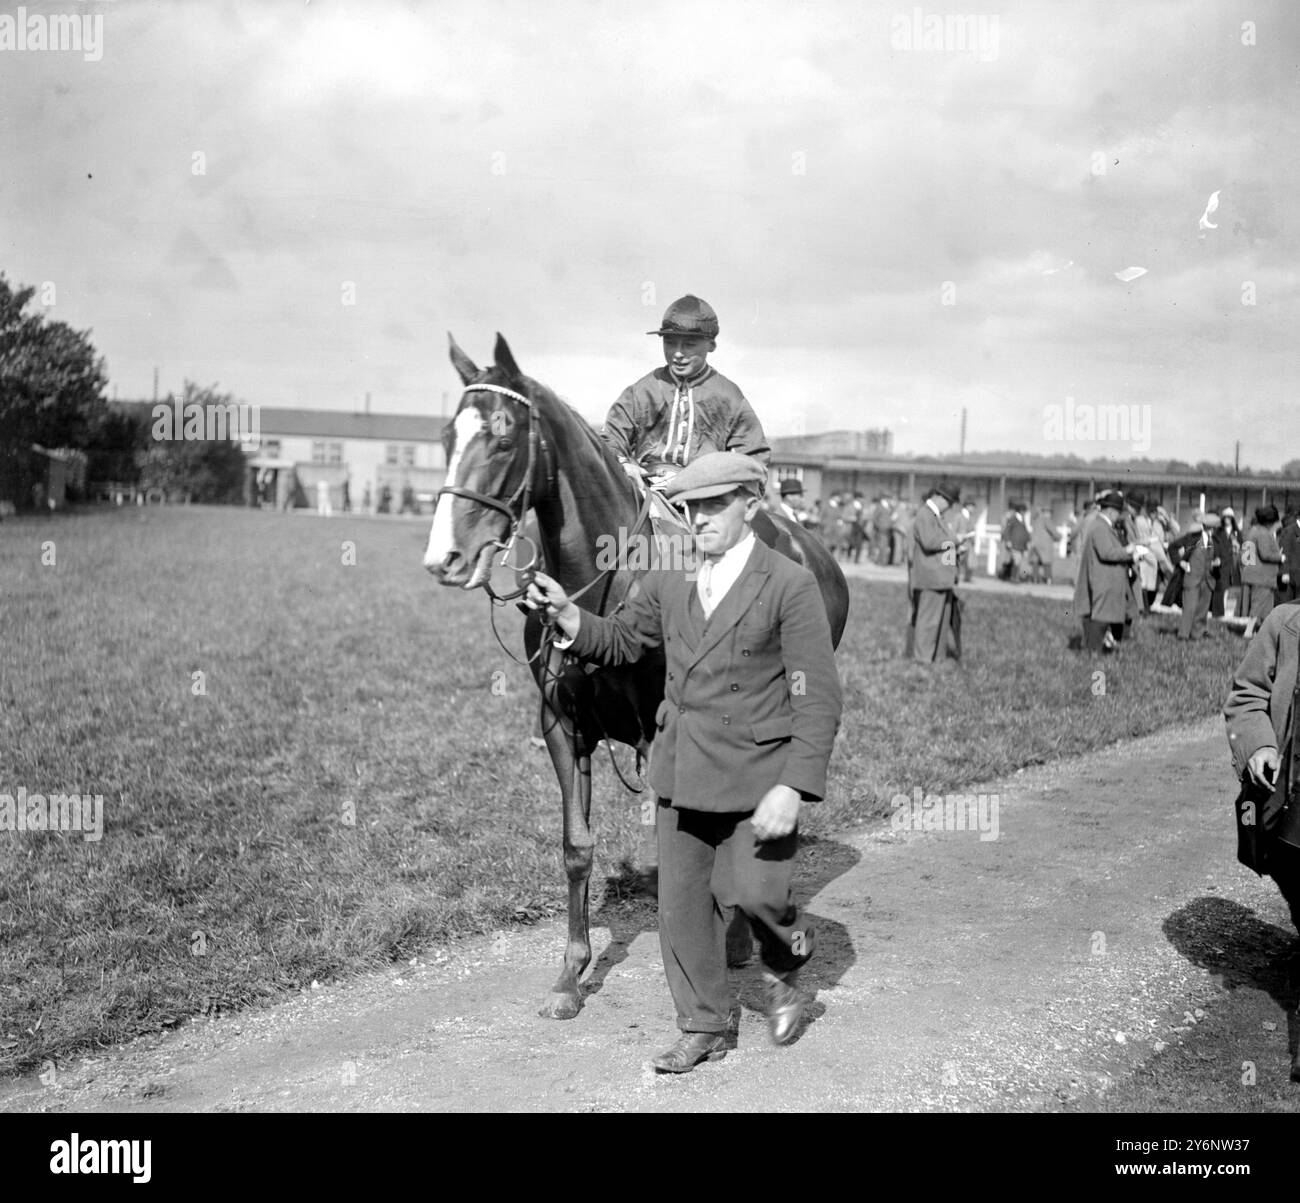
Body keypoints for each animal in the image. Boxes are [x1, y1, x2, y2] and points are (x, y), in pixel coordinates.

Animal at [426, 332, 852, 1019]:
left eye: (504, 436)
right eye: (446, 435)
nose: (446, 556)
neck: (604, 579)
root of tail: (812, 550)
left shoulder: (663, 734)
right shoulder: (562, 725)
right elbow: (577, 847)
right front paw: (571, 977)